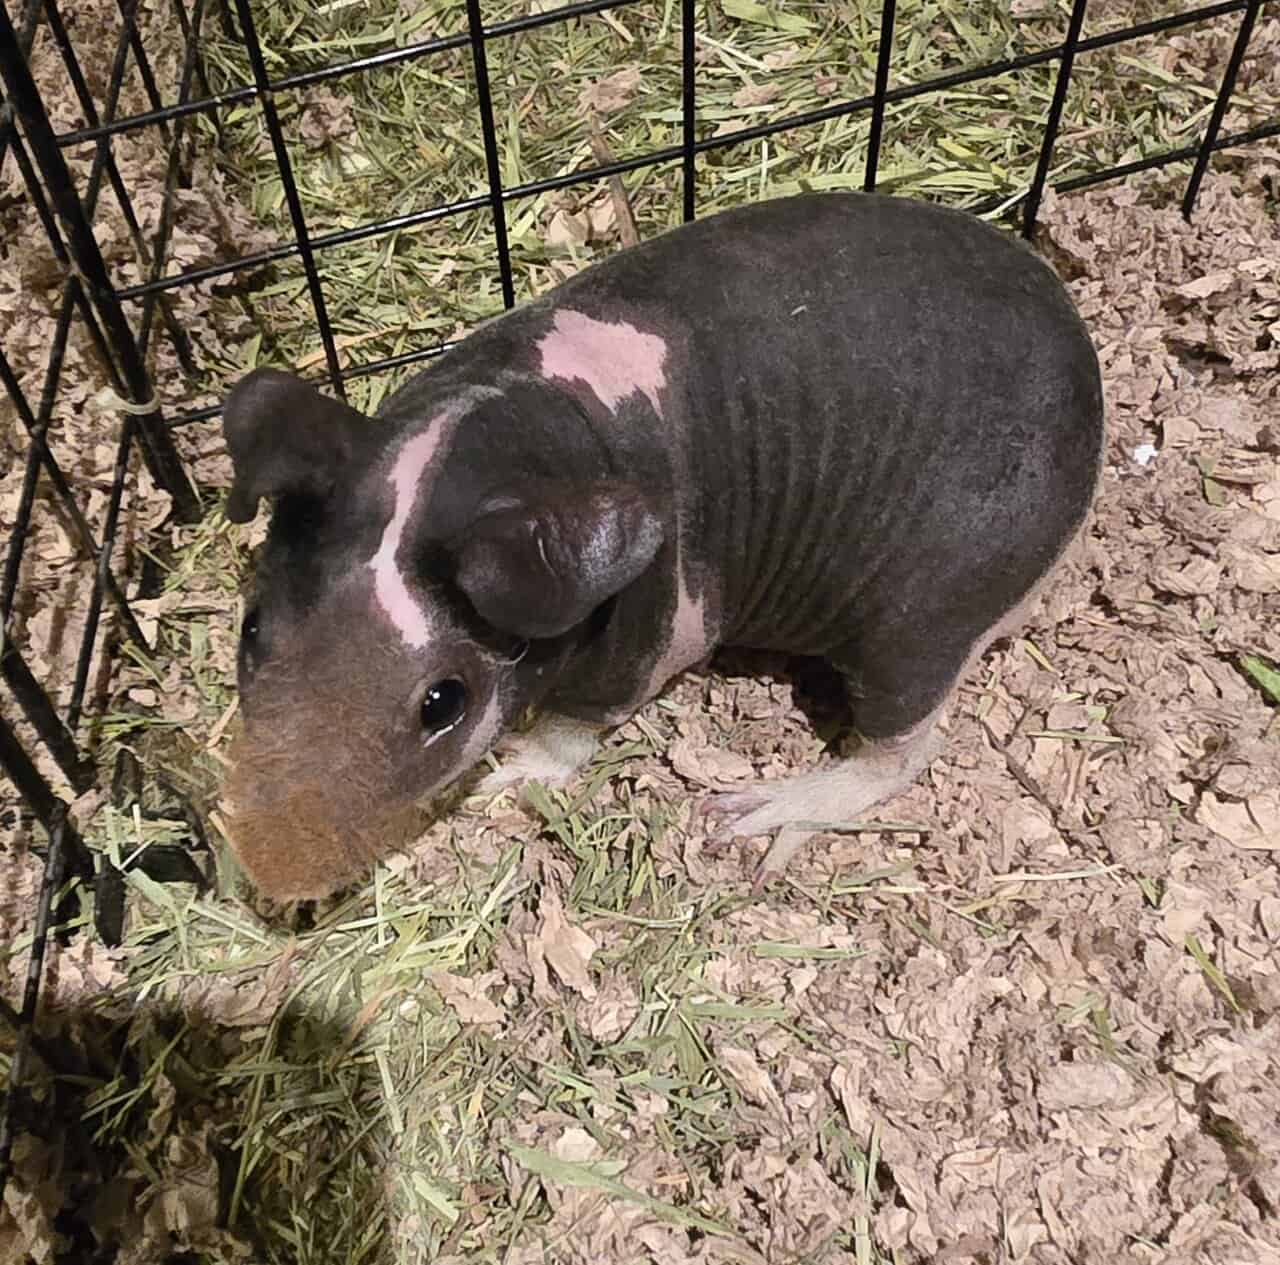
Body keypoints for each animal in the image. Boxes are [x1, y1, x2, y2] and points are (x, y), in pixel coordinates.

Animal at [219, 191, 1103, 901]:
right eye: (250, 628)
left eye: (444, 702)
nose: (267, 874)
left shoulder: (653, 638)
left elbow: (578, 723)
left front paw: (510, 771)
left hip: (918, 623)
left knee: (904, 750)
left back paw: (761, 813)